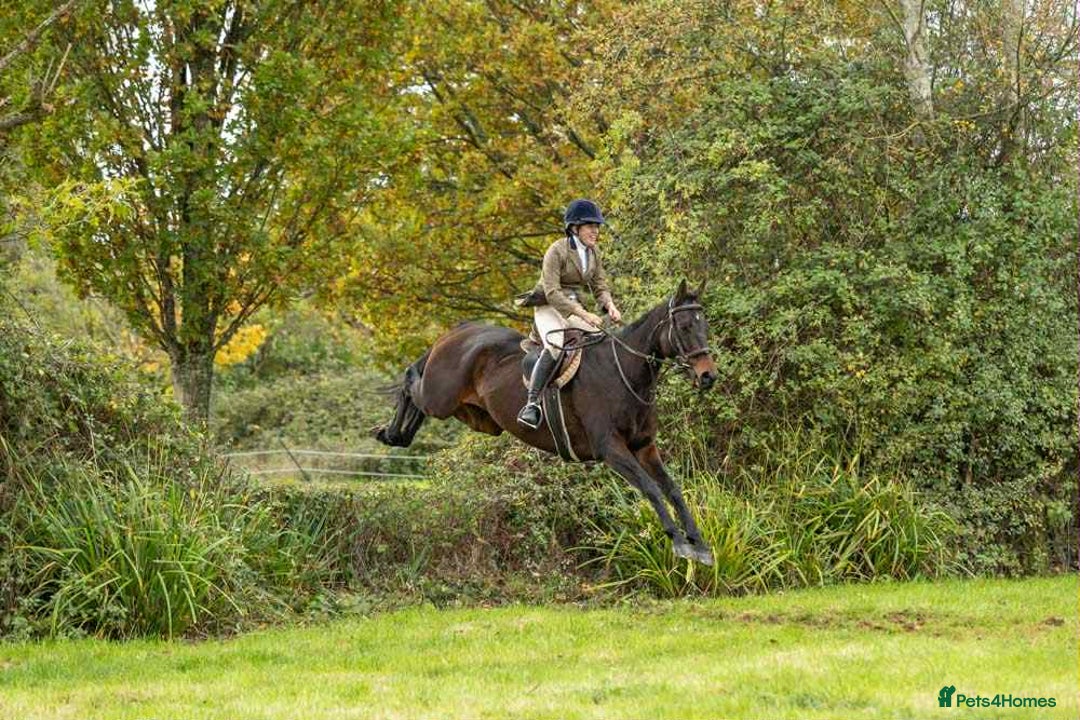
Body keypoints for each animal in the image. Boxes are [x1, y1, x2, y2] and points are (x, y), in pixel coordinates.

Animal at [374, 279, 719, 565]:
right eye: (684, 326)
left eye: (705, 325)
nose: (708, 376)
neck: (623, 373)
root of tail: (459, 330)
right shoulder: (611, 448)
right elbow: (651, 488)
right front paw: (678, 542)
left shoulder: (644, 446)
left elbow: (672, 489)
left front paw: (699, 545)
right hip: (440, 398)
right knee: (411, 381)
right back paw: (389, 433)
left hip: (479, 418)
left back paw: (398, 435)